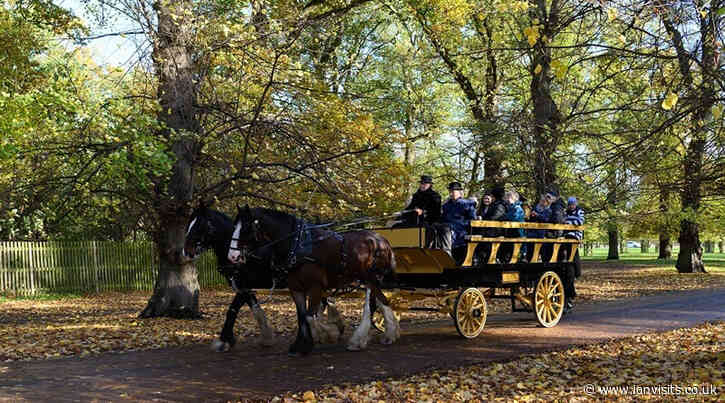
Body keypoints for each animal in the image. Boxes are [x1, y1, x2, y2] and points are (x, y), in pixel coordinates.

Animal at [183, 204, 276, 351]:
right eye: (189, 223)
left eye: (199, 225)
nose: (186, 251)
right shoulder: (243, 286)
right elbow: (255, 309)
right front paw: (266, 336)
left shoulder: (245, 285)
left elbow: (232, 309)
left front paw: (223, 340)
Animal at [227, 205, 400, 355]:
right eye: (234, 226)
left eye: (246, 228)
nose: (232, 256)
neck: (297, 246)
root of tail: (381, 239)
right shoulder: (296, 288)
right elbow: (301, 316)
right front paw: (300, 345)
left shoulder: (316, 287)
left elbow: (310, 317)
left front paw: (327, 334)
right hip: (368, 279)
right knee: (380, 301)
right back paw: (384, 333)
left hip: (371, 277)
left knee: (378, 301)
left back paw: (382, 335)